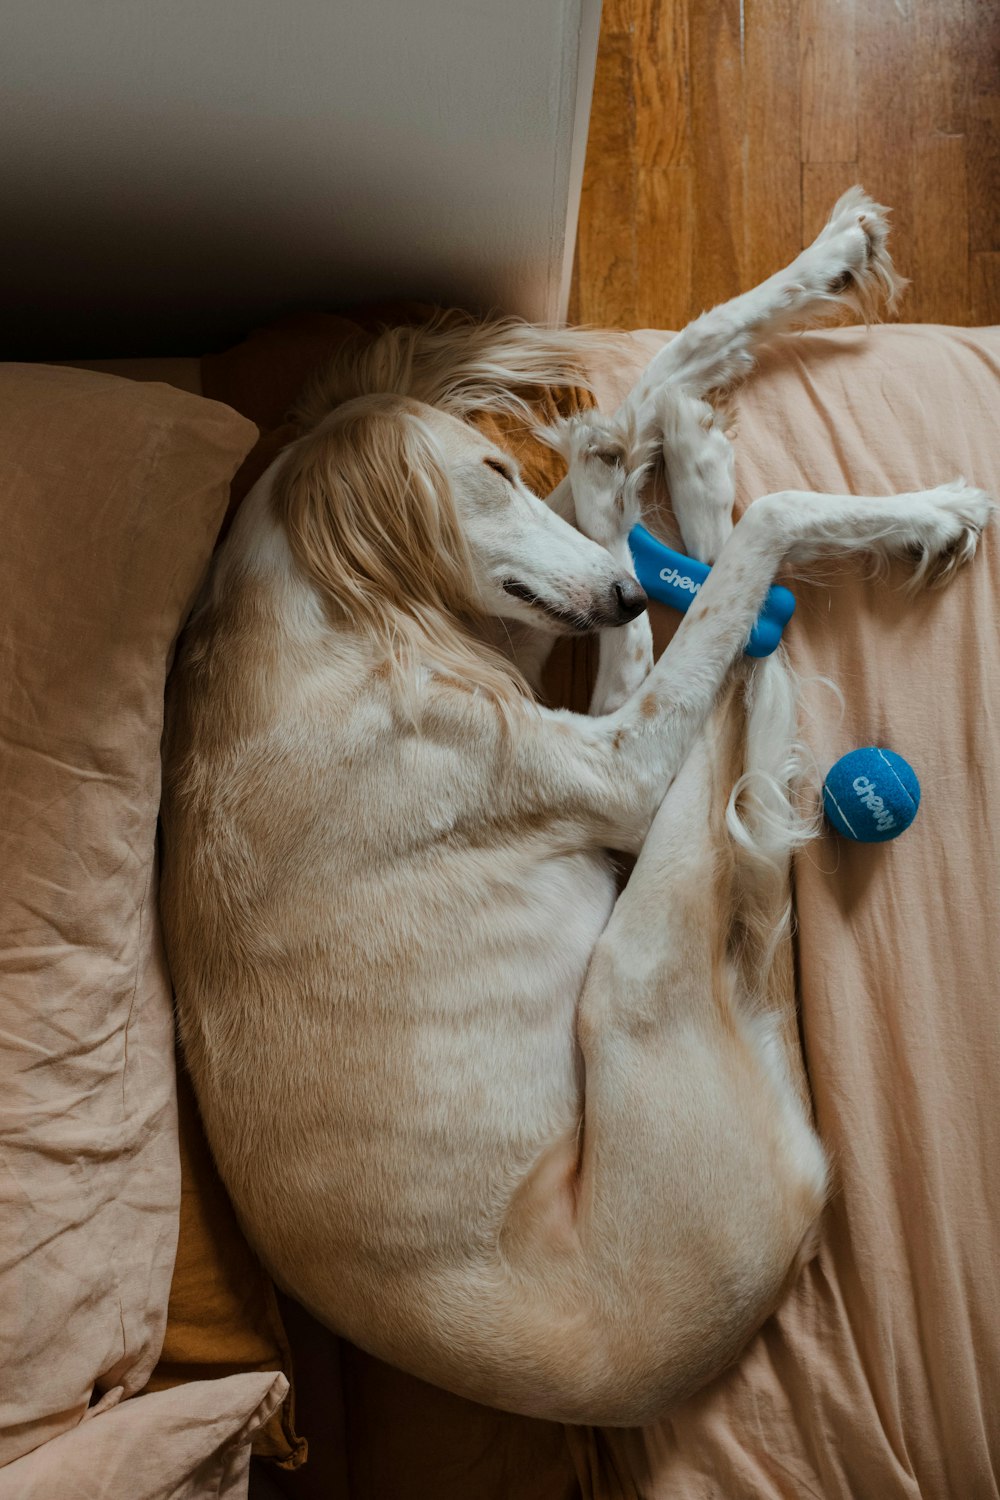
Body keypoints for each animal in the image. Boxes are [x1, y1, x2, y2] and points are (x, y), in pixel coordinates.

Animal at [160, 193, 995, 1422]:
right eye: (488, 475)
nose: (627, 591)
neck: (324, 616)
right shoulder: (619, 770)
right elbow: (757, 531)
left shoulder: (558, 656)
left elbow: (650, 389)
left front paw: (808, 284)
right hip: (634, 972)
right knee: (752, 643)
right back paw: (714, 472)